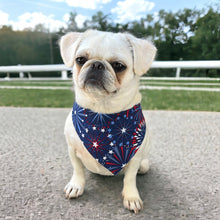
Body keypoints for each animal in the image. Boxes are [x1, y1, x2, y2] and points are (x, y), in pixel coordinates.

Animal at [59, 29, 156, 213]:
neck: (101, 114)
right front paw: (76, 185)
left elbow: (129, 178)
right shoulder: (71, 149)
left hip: (144, 162)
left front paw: (131, 196)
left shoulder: (134, 158)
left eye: (118, 66)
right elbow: (77, 169)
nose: (96, 64)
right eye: (80, 60)